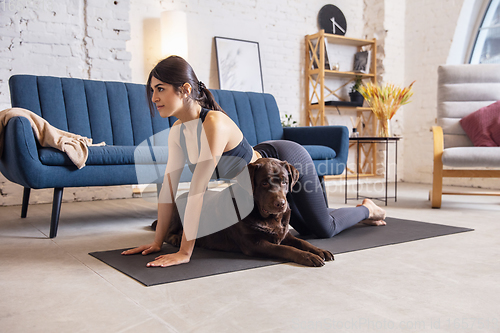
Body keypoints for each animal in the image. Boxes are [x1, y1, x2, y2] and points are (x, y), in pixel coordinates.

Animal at [154, 157, 334, 266]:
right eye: (264, 183)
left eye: (284, 181)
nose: (281, 204)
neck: (269, 218)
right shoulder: (254, 244)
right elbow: (285, 249)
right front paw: (308, 257)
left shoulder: (284, 234)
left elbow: (303, 242)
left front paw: (319, 251)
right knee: (168, 232)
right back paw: (177, 238)